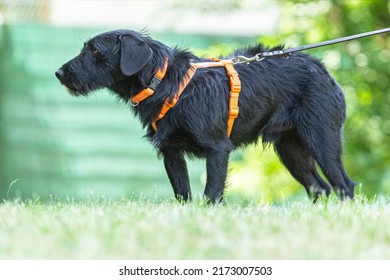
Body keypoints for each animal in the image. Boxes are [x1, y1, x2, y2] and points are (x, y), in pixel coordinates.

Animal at [55, 29, 356, 202]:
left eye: (94, 50)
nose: (58, 73)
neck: (166, 82)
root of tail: (323, 70)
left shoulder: (218, 149)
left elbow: (211, 193)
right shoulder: (171, 153)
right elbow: (183, 194)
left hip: (322, 141)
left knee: (344, 185)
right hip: (292, 151)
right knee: (320, 188)